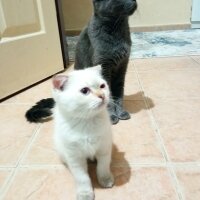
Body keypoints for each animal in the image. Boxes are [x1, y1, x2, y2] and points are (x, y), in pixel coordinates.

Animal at [52, 65, 114, 200]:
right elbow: (82, 178)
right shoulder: (75, 158)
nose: (102, 95)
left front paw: (105, 180)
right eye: (85, 91)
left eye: (102, 86)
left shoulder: (104, 148)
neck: (87, 122)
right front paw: (85, 193)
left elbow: (103, 167)